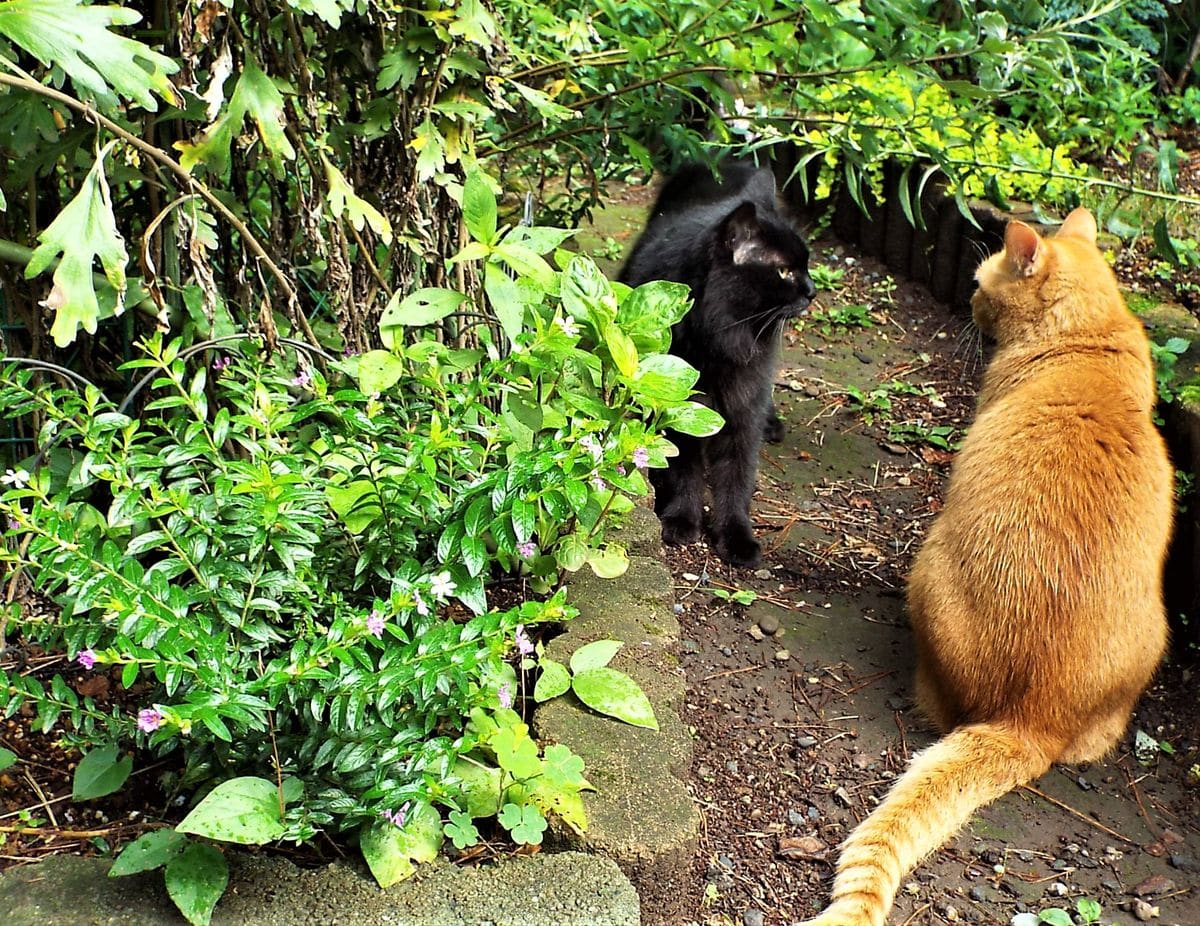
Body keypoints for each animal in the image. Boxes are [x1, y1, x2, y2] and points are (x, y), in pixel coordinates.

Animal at [619, 160, 816, 563]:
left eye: (805, 266)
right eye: (784, 271)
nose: (812, 291)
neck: (720, 342)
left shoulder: (744, 405)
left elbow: (737, 476)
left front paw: (737, 536)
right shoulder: (680, 410)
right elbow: (685, 470)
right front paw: (682, 520)